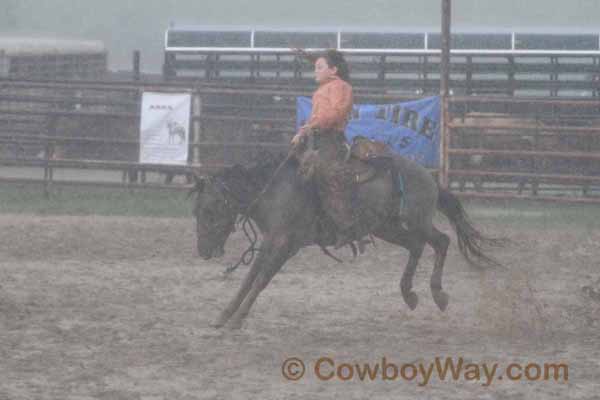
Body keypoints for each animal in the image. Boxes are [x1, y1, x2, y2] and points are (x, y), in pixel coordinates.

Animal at [190, 149, 504, 328]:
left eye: (208, 210)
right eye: (196, 211)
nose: (202, 250)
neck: (275, 191)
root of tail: (428, 176)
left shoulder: (285, 246)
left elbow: (261, 280)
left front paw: (237, 319)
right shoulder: (270, 242)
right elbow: (249, 278)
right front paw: (224, 316)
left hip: (416, 222)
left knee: (441, 242)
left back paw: (438, 295)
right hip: (387, 228)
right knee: (416, 247)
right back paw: (409, 294)